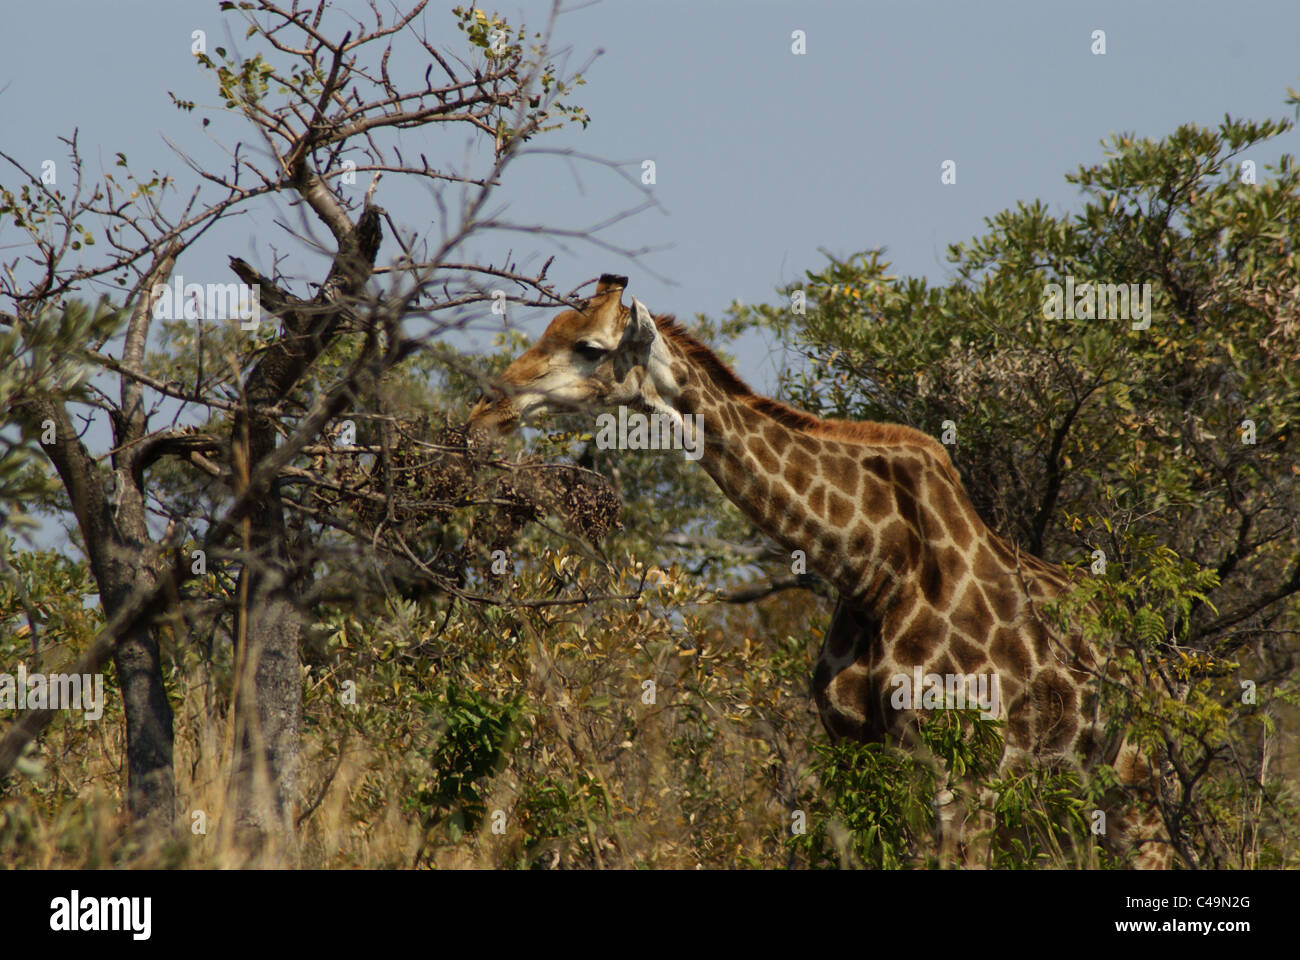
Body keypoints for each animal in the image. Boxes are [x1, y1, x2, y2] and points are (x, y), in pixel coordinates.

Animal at [469, 274, 1171, 868]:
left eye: (589, 347)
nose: (489, 407)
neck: (870, 567)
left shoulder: (967, 775)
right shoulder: (859, 752)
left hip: (1132, 778)